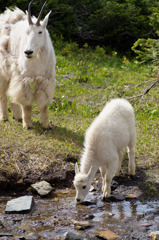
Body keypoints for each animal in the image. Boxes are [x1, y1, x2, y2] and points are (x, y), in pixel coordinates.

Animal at [0, 1, 56, 129]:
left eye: (40, 32)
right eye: (27, 32)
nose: (28, 52)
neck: (37, 59)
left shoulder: (45, 79)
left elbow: (44, 105)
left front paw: (46, 125)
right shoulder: (24, 77)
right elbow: (27, 104)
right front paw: (28, 125)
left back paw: (17, 116)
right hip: (3, 70)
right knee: (3, 93)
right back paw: (4, 117)